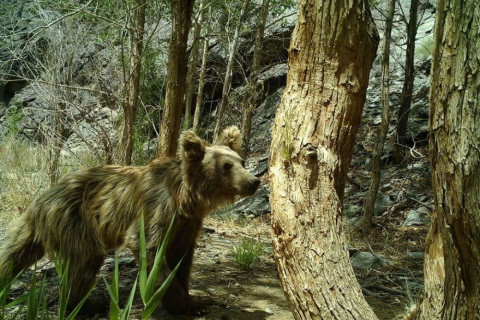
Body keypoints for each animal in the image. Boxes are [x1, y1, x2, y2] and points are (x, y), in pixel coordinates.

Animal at [0, 125, 258, 316]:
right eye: (226, 165)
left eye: (241, 161)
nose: (253, 181)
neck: (186, 198)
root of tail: (38, 202)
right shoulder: (157, 210)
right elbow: (150, 249)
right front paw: (186, 304)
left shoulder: (187, 224)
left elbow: (182, 258)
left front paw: (191, 297)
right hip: (75, 219)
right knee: (84, 261)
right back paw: (84, 304)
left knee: (15, 255)